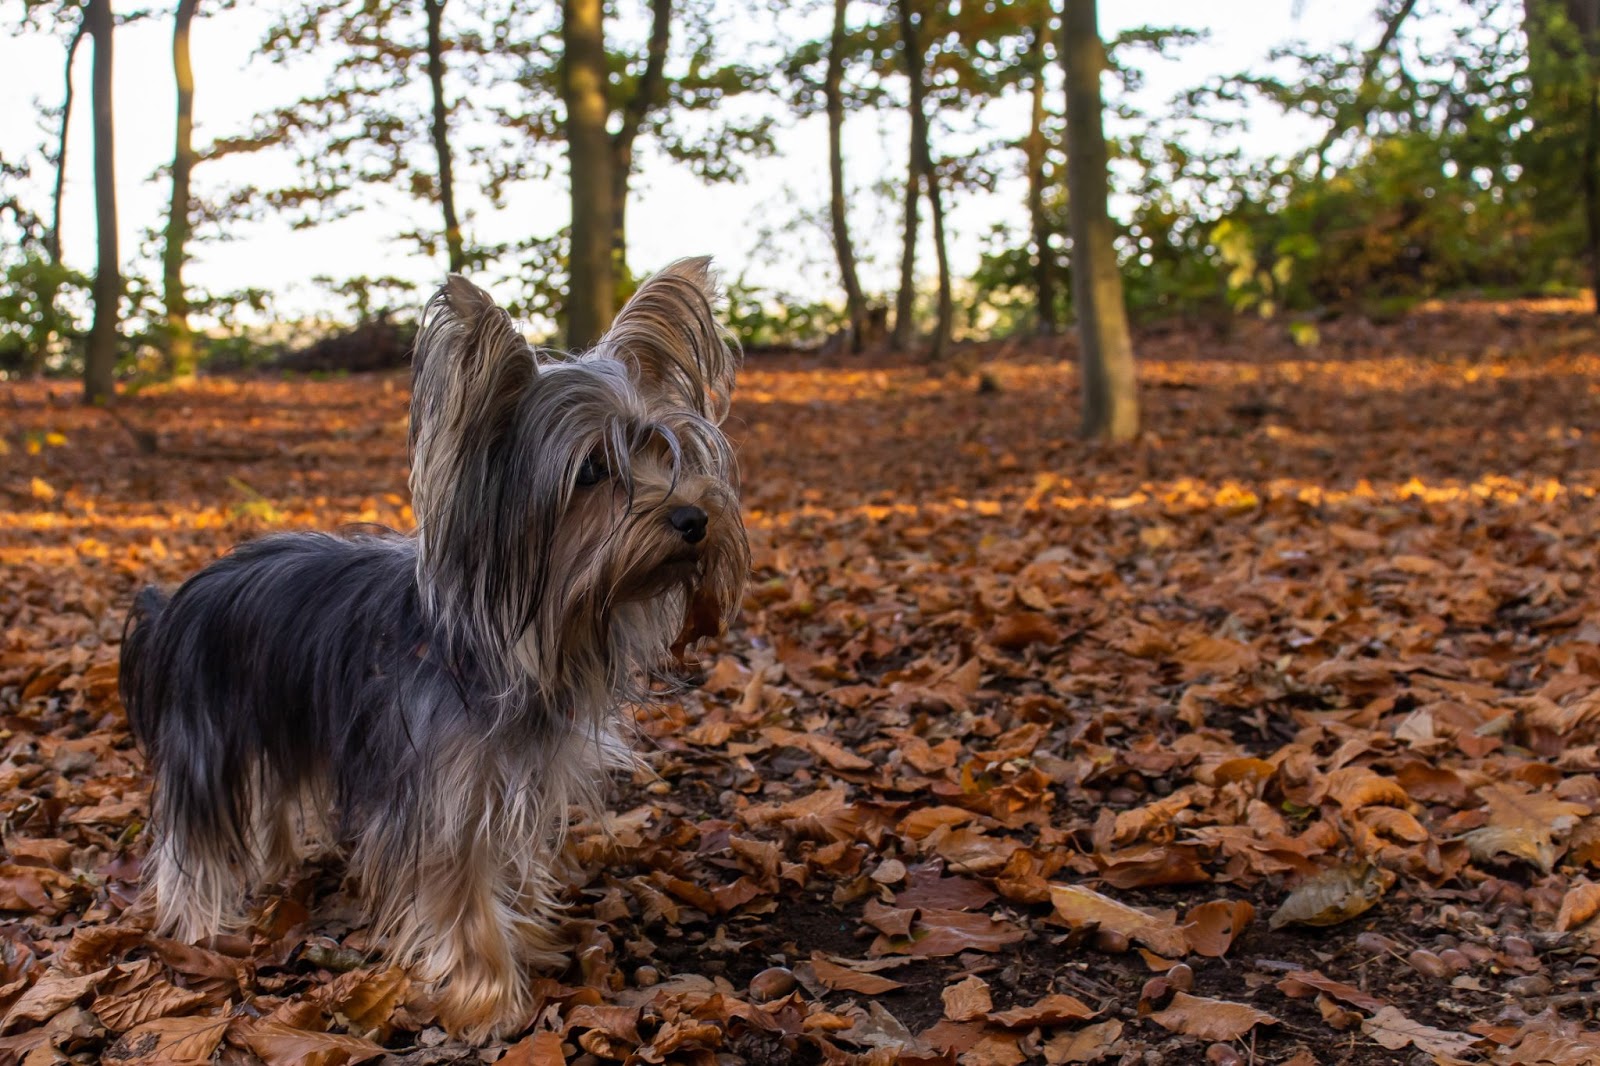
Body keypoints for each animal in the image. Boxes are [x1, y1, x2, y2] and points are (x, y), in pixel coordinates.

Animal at [118, 259, 748, 1037]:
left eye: (665, 450)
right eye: (593, 471)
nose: (694, 517)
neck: (520, 639)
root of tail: (178, 601)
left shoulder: (516, 778)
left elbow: (512, 869)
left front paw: (531, 938)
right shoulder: (444, 796)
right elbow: (462, 895)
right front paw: (490, 997)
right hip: (208, 738)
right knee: (193, 840)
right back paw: (198, 927)